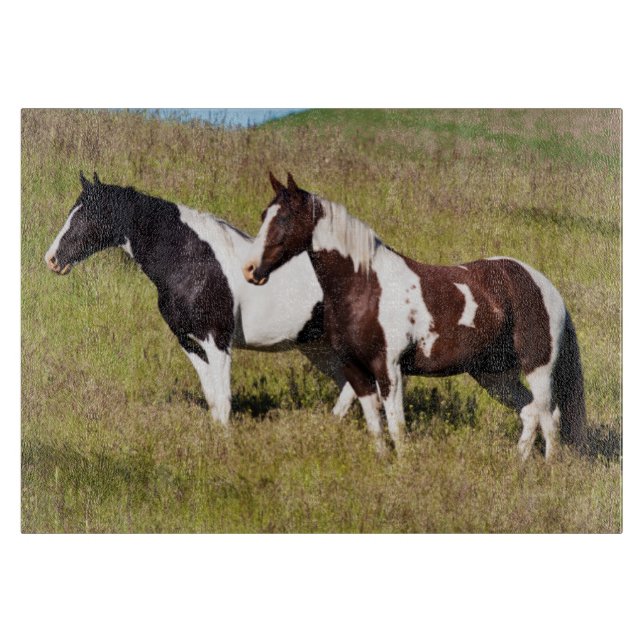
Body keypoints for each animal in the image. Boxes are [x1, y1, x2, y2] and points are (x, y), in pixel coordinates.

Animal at [45, 172, 357, 426]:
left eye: (87, 215)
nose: (52, 259)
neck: (192, 261)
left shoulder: (217, 341)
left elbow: (223, 401)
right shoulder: (189, 341)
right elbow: (212, 400)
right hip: (318, 346)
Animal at [243, 173, 586, 460]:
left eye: (285, 217)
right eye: (263, 215)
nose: (251, 270)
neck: (366, 286)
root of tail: (544, 286)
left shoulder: (390, 369)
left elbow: (397, 426)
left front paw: (404, 466)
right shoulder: (355, 369)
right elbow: (375, 424)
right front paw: (383, 461)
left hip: (537, 367)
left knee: (549, 416)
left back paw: (548, 467)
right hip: (493, 373)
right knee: (530, 412)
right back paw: (518, 464)